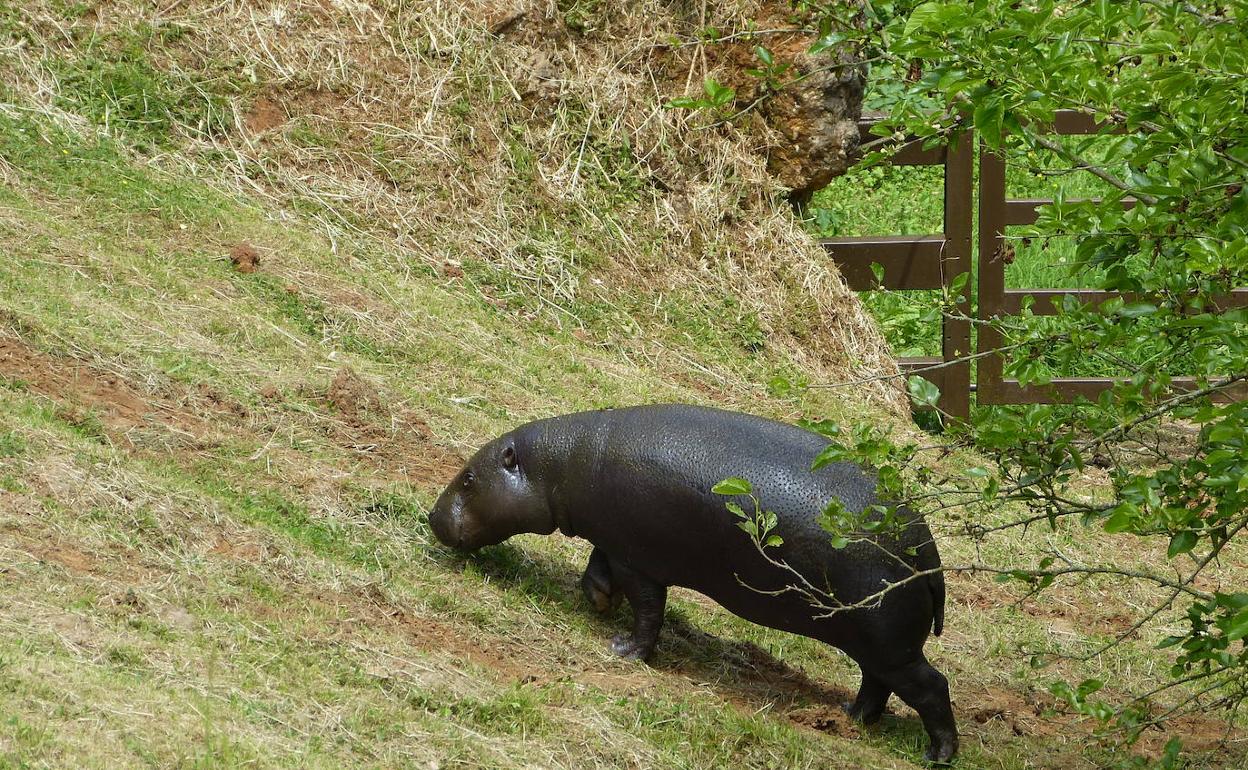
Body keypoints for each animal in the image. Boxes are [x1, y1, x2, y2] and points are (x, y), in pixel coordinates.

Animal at [429, 404, 953, 758]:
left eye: (469, 478)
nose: (431, 516)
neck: (557, 464)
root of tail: (928, 552)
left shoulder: (640, 562)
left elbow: (647, 610)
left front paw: (624, 651)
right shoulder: (616, 543)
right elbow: (597, 569)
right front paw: (598, 602)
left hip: (889, 643)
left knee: (930, 686)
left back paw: (938, 755)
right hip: (874, 644)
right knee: (875, 683)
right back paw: (850, 717)